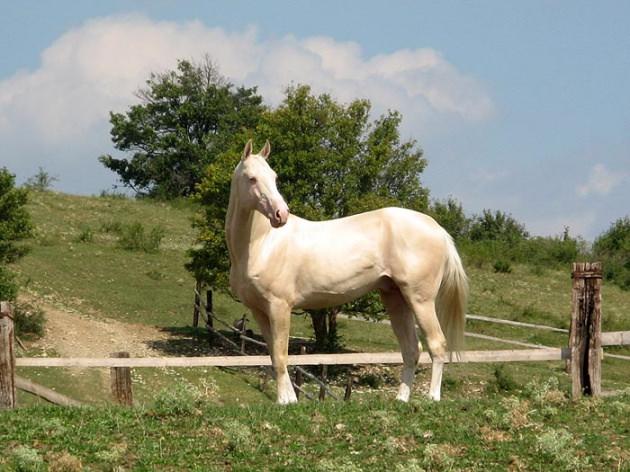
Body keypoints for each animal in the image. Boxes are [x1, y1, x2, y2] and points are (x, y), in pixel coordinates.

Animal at [227, 138, 470, 404]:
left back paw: (432, 399)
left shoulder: (280, 307)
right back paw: (401, 400)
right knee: (411, 350)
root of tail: (439, 230)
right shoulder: (259, 310)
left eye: (274, 176)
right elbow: (273, 354)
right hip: (396, 298)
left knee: (437, 345)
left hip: (421, 300)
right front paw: (290, 400)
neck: (263, 245)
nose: (281, 215)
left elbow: (281, 356)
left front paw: (285, 401)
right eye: (252, 178)